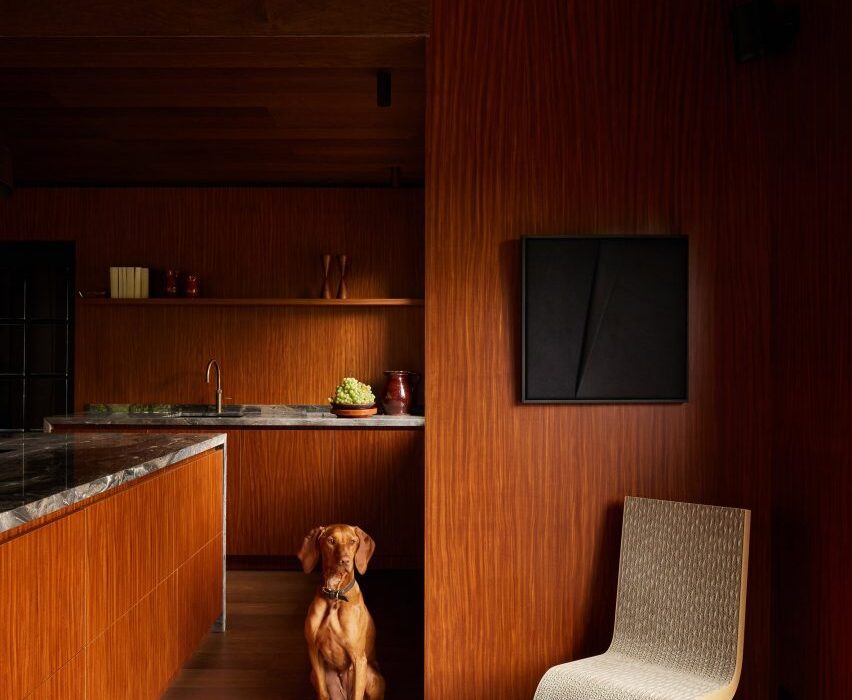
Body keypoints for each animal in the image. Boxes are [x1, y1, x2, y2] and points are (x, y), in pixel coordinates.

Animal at [296, 524, 382, 700]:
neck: (335, 596)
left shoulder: (358, 659)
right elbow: (323, 692)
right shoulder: (314, 651)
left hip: (370, 673)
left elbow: (357, 695)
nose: (345, 561)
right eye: (331, 541)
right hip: (314, 675)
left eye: (353, 541)